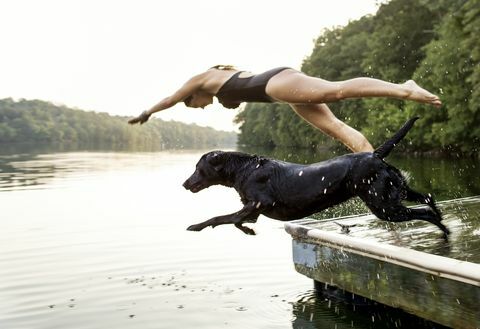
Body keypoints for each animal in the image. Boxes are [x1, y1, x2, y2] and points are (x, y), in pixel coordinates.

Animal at [184, 118, 450, 238]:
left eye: (198, 167)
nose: (185, 183)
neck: (245, 169)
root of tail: (375, 154)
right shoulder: (253, 209)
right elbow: (236, 220)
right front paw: (249, 230)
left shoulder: (258, 203)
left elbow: (221, 218)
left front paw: (196, 225)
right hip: (395, 192)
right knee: (428, 198)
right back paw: (442, 220)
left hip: (384, 205)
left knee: (424, 212)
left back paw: (444, 231)